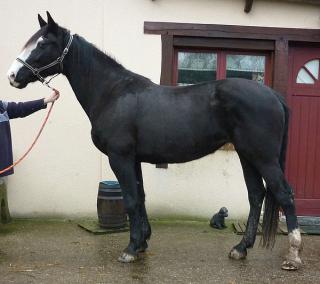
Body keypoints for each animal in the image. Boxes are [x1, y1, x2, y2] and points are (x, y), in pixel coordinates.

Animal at [6, 12, 302, 270]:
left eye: (42, 43)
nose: (12, 76)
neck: (113, 93)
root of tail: (273, 95)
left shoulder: (120, 158)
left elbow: (130, 200)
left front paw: (130, 249)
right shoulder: (134, 160)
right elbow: (141, 197)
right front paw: (142, 243)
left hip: (262, 157)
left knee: (284, 194)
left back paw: (293, 256)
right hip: (246, 154)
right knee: (256, 195)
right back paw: (241, 248)